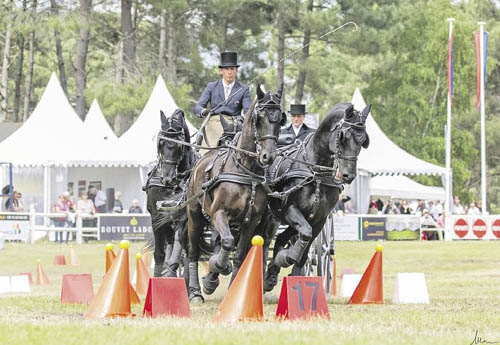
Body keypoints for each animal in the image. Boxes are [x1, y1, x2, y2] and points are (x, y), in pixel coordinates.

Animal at [144, 109, 198, 276]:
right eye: (160, 143)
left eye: (179, 145)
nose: (167, 178)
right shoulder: (156, 217)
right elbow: (159, 254)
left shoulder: (183, 216)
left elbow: (181, 245)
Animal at [186, 84, 286, 300]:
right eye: (259, 118)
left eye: (280, 120)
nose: (268, 156)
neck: (244, 169)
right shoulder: (219, 213)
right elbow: (226, 242)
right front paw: (215, 270)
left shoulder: (251, 221)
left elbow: (240, 255)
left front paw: (234, 288)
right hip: (194, 216)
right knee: (192, 251)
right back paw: (195, 291)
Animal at [262, 101, 372, 290]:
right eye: (343, 136)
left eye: (363, 139)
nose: (348, 175)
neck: (315, 172)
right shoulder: (290, 209)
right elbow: (304, 235)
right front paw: (287, 257)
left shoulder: (319, 219)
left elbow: (306, 247)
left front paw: (293, 271)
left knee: (279, 238)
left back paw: (271, 274)